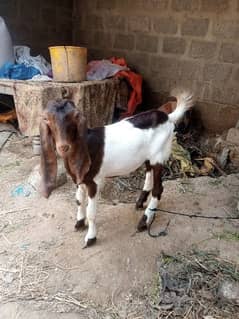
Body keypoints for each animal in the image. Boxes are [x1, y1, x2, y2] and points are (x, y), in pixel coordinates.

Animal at [40, 91, 194, 249]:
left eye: (75, 116)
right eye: (47, 119)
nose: (63, 147)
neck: (86, 145)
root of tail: (168, 117)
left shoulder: (95, 182)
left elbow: (91, 211)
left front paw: (90, 238)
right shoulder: (79, 178)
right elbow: (78, 200)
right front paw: (79, 223)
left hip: (160, 154)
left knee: (158, 189)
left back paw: (144, 222)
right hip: (149, 157)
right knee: (149, 175)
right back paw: (140, 202)